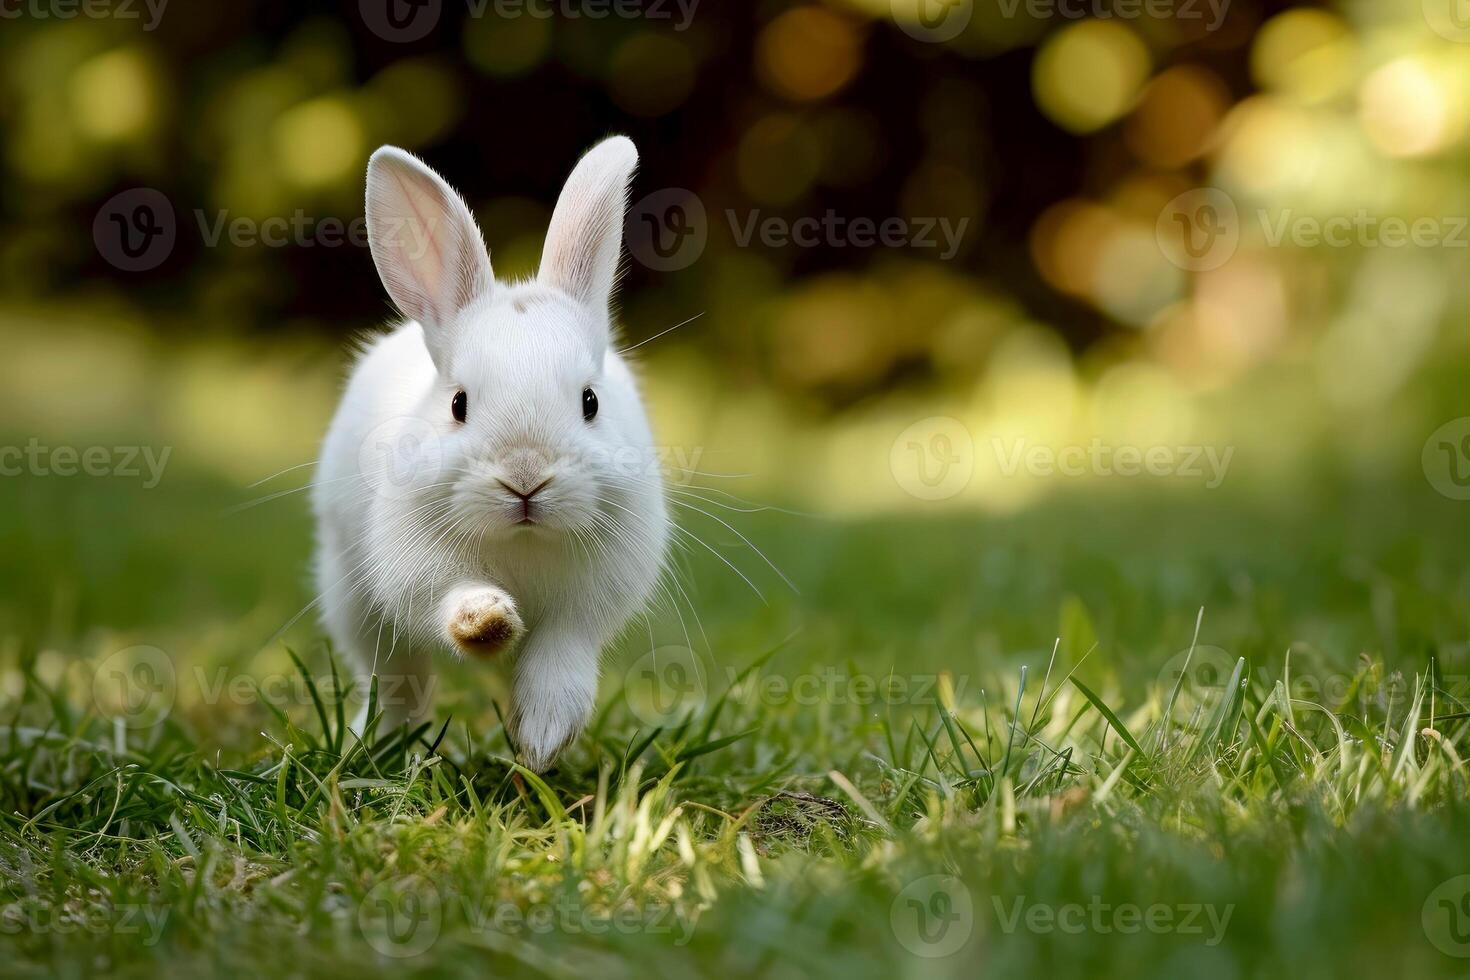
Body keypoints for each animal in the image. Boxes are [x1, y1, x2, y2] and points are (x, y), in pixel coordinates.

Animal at [318, 134, 673, 769]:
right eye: (459, 404)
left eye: (590, 402)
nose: (525, 477)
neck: (521, 541)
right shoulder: (417, 567)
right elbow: (450, 599)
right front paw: (486, 622)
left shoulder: (588, 604)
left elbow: (561, 655)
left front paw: (543, 739)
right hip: (350, 598)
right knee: (396, 679)